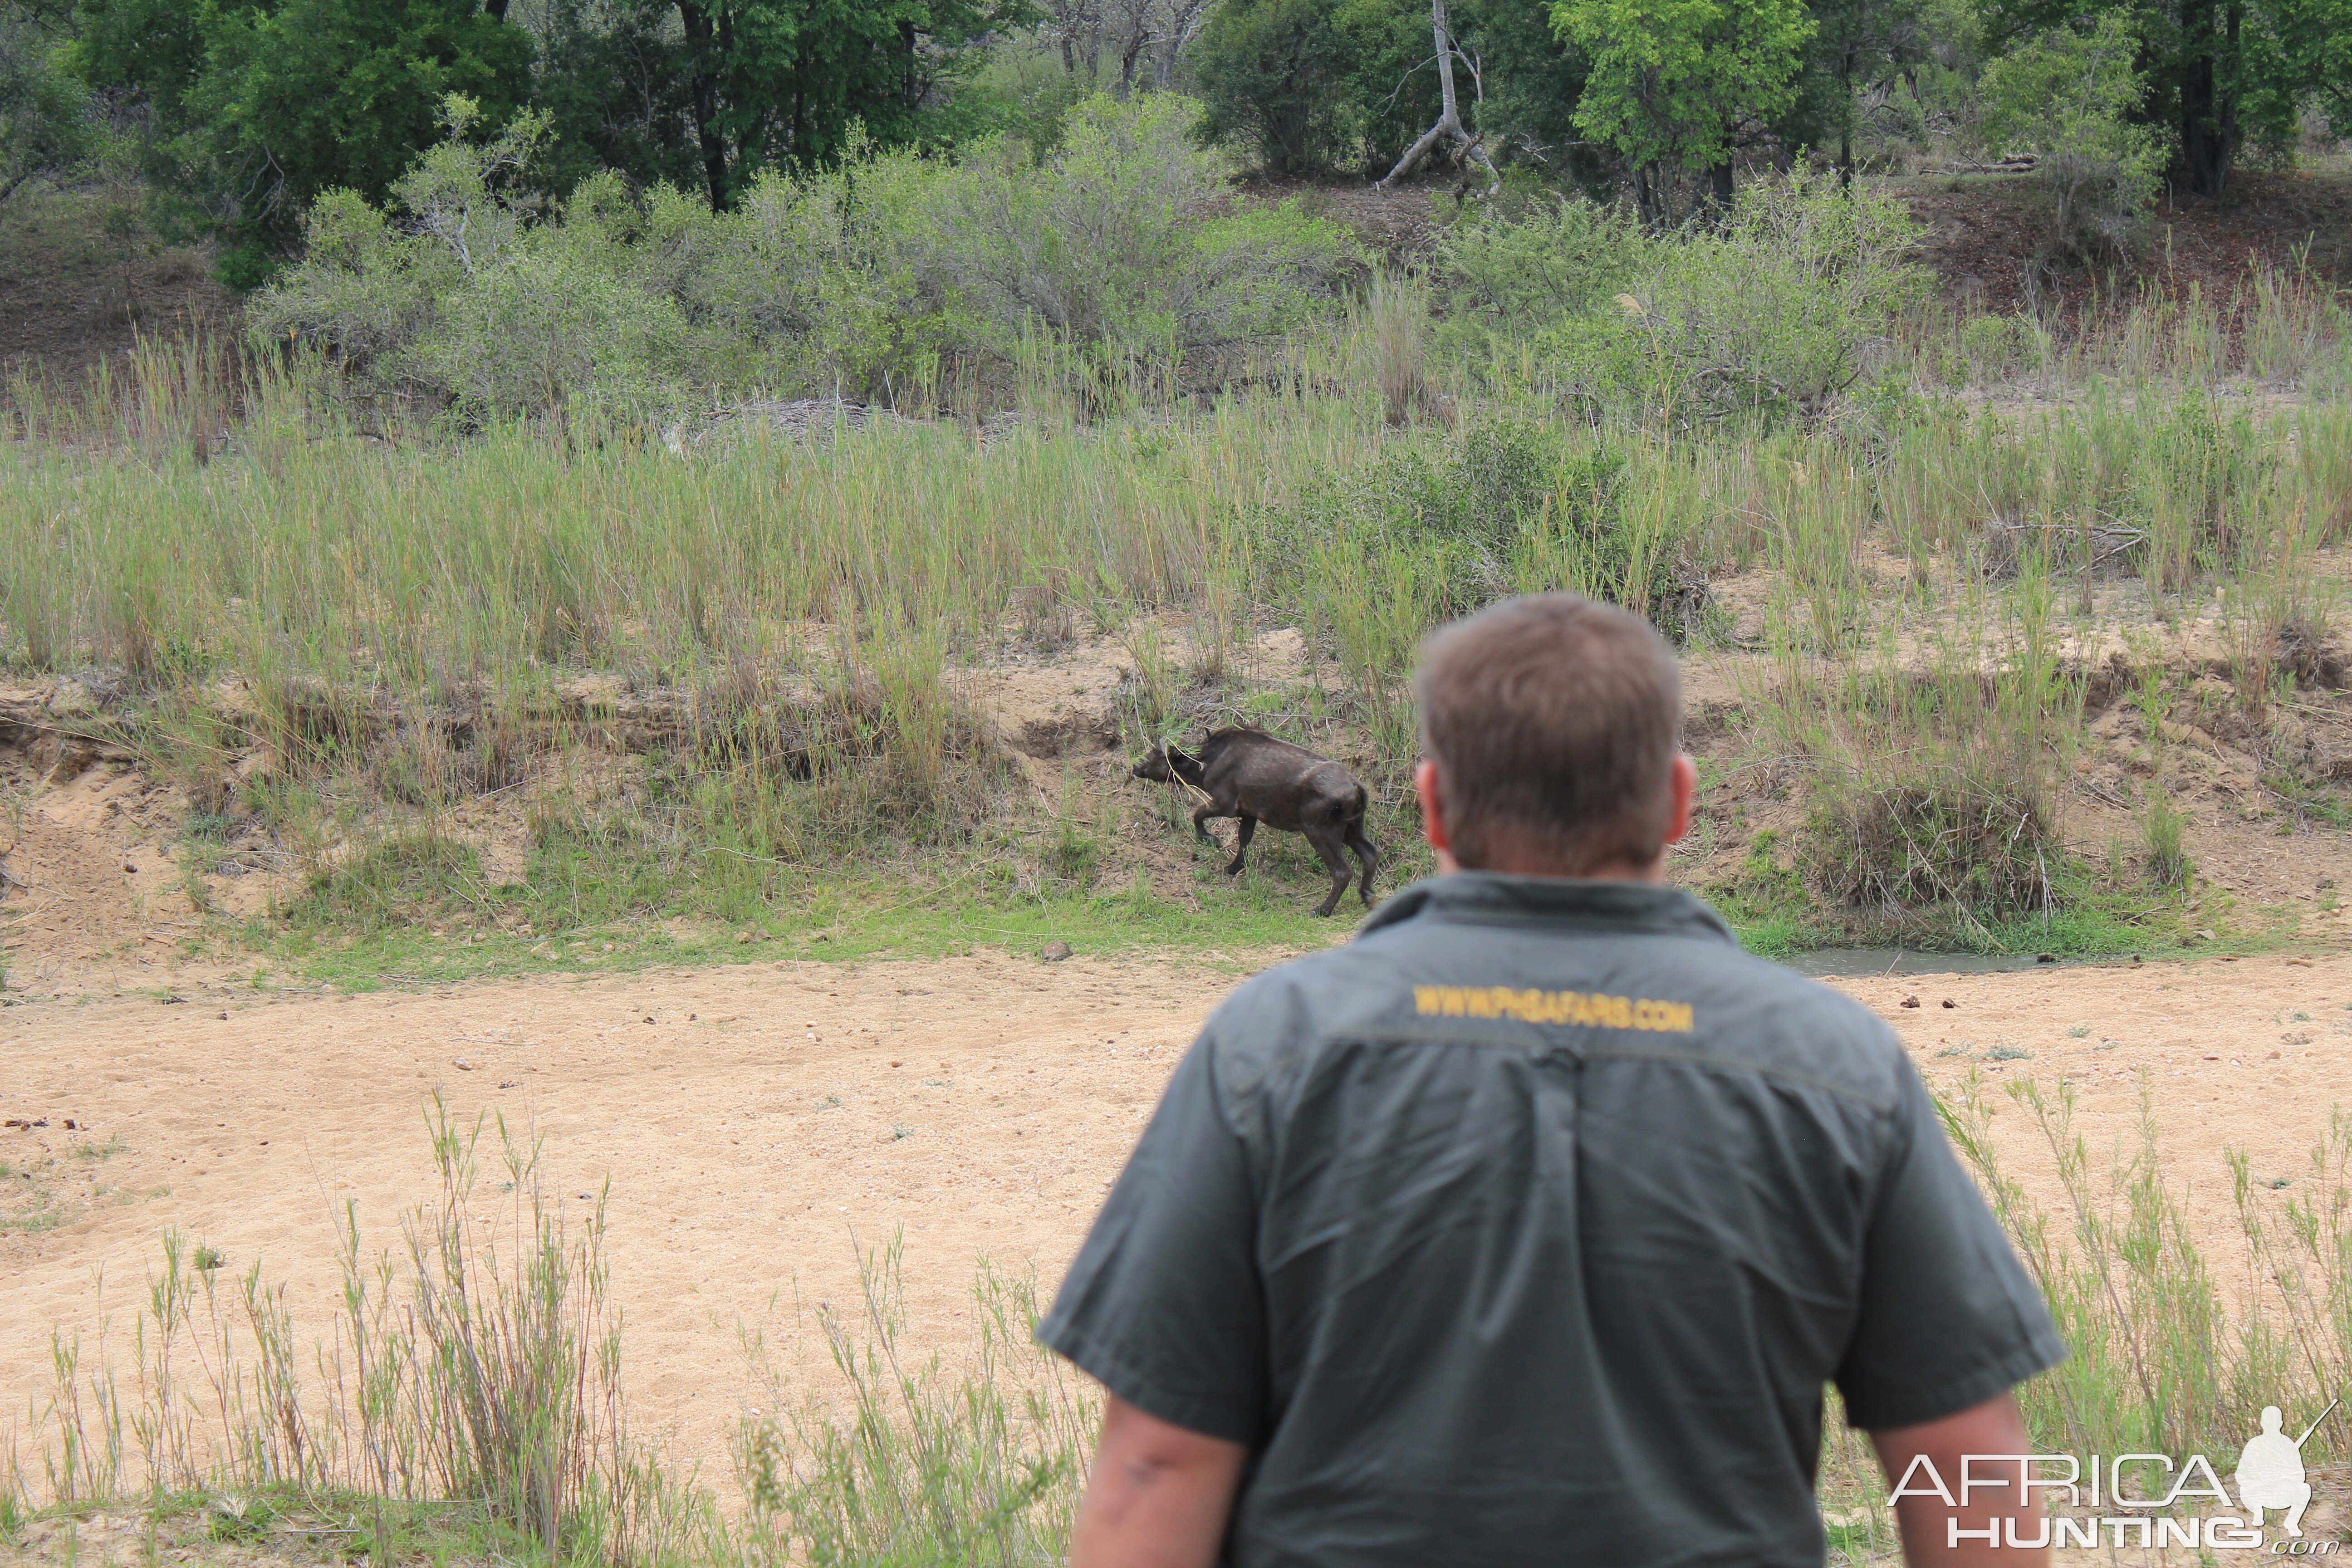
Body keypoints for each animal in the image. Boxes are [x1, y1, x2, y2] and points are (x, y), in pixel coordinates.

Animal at [1133, 729, 1373, 921]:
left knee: (1342, 872)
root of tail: (1354, 785)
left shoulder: (1225, 806)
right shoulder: (1249, 813)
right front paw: (1235, 866)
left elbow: (1197, 815)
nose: (1136, 767)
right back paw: (1367, 896)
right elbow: (1244, 837)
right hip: (1352, 830)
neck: (1212, 759)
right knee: (1372, 854)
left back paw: (1322, 910)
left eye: (1156, 753)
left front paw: (1211, 840)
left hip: (1321, 834)